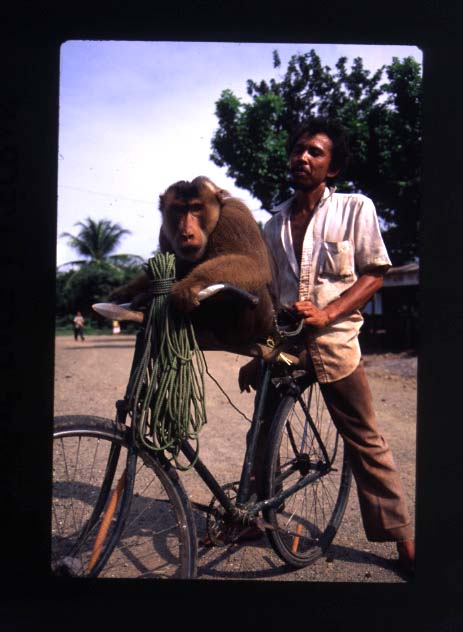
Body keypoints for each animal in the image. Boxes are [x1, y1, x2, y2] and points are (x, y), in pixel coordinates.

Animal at [109, 175, 276, 348]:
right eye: (179, 209)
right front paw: (127, 291)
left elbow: (255, 264)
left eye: (196, 208)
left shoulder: (235, 214)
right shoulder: (165, 232)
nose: (187, 234)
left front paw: (192, 283)